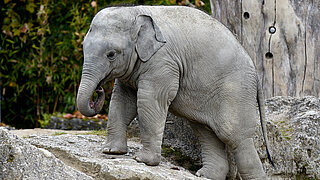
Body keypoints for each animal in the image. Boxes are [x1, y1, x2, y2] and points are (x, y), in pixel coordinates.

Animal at [77, 5, 276, 180]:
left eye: (111, 54)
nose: (99, 89)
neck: (134, 11)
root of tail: (255, 72)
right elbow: (122, 101)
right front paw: (112, 151)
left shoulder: (163, 61)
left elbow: (149, 101)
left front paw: (143, 161)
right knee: (206, 131)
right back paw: (206, 175)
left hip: (236, 91)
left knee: (234, 136)